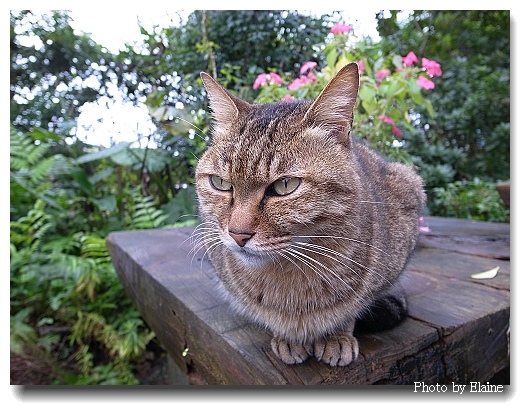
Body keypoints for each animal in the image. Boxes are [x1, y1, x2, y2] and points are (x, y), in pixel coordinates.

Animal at [193, 62, 424, 366]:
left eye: (285, 185)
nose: (237, 234)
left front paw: (337, 336)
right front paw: (287, 337)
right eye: (221, 183)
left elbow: (351, 309)